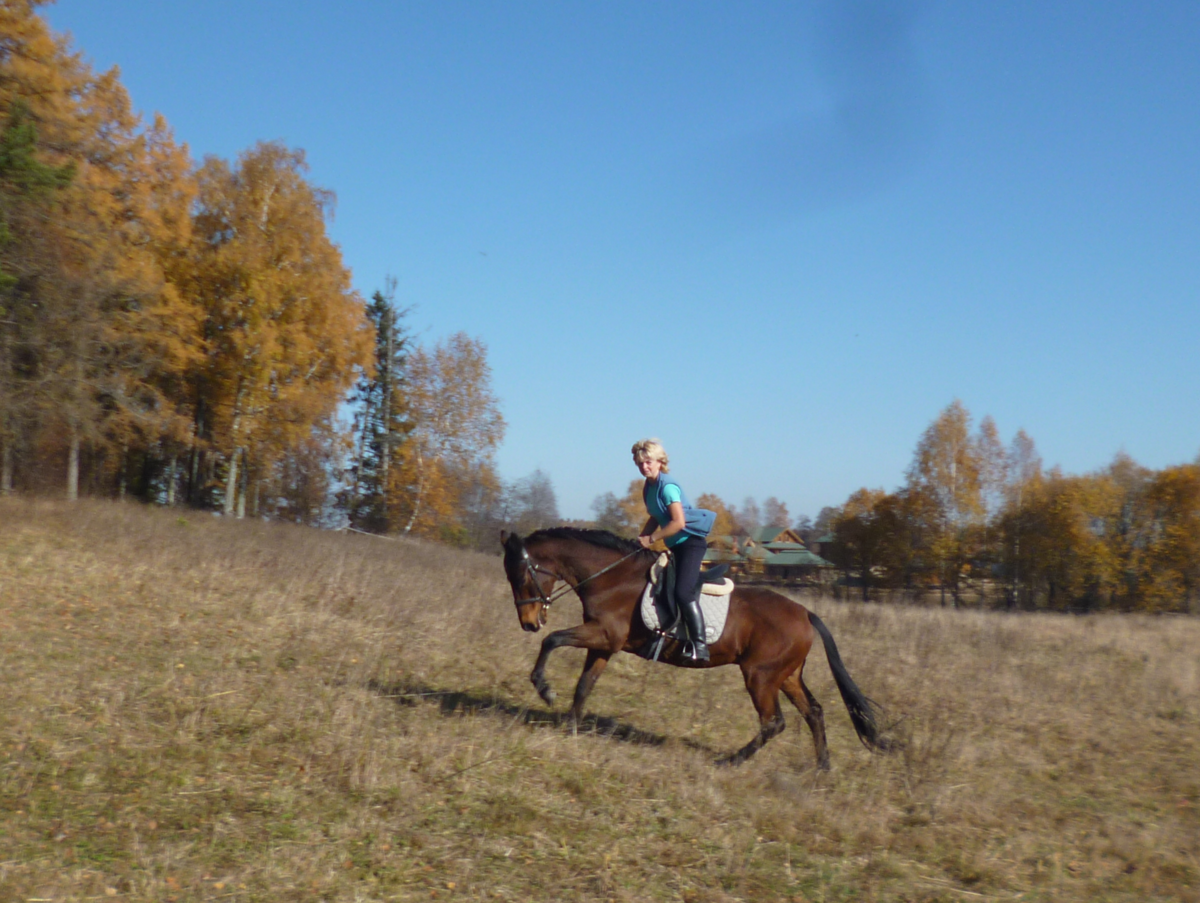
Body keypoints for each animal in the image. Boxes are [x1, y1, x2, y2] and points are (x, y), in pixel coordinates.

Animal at [499, 528, 892, 768]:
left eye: (521, 576)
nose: (529, 623)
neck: (610, 577)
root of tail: (805, 613)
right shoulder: (604, 644)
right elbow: (583, 687)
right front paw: (571, 729)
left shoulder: (602, 635)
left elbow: (552, 641)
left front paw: (544, 689)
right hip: (787, 675)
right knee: (814, 713)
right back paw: (822, 769)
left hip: (761, 676)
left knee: (774, 722)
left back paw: (730, 761)